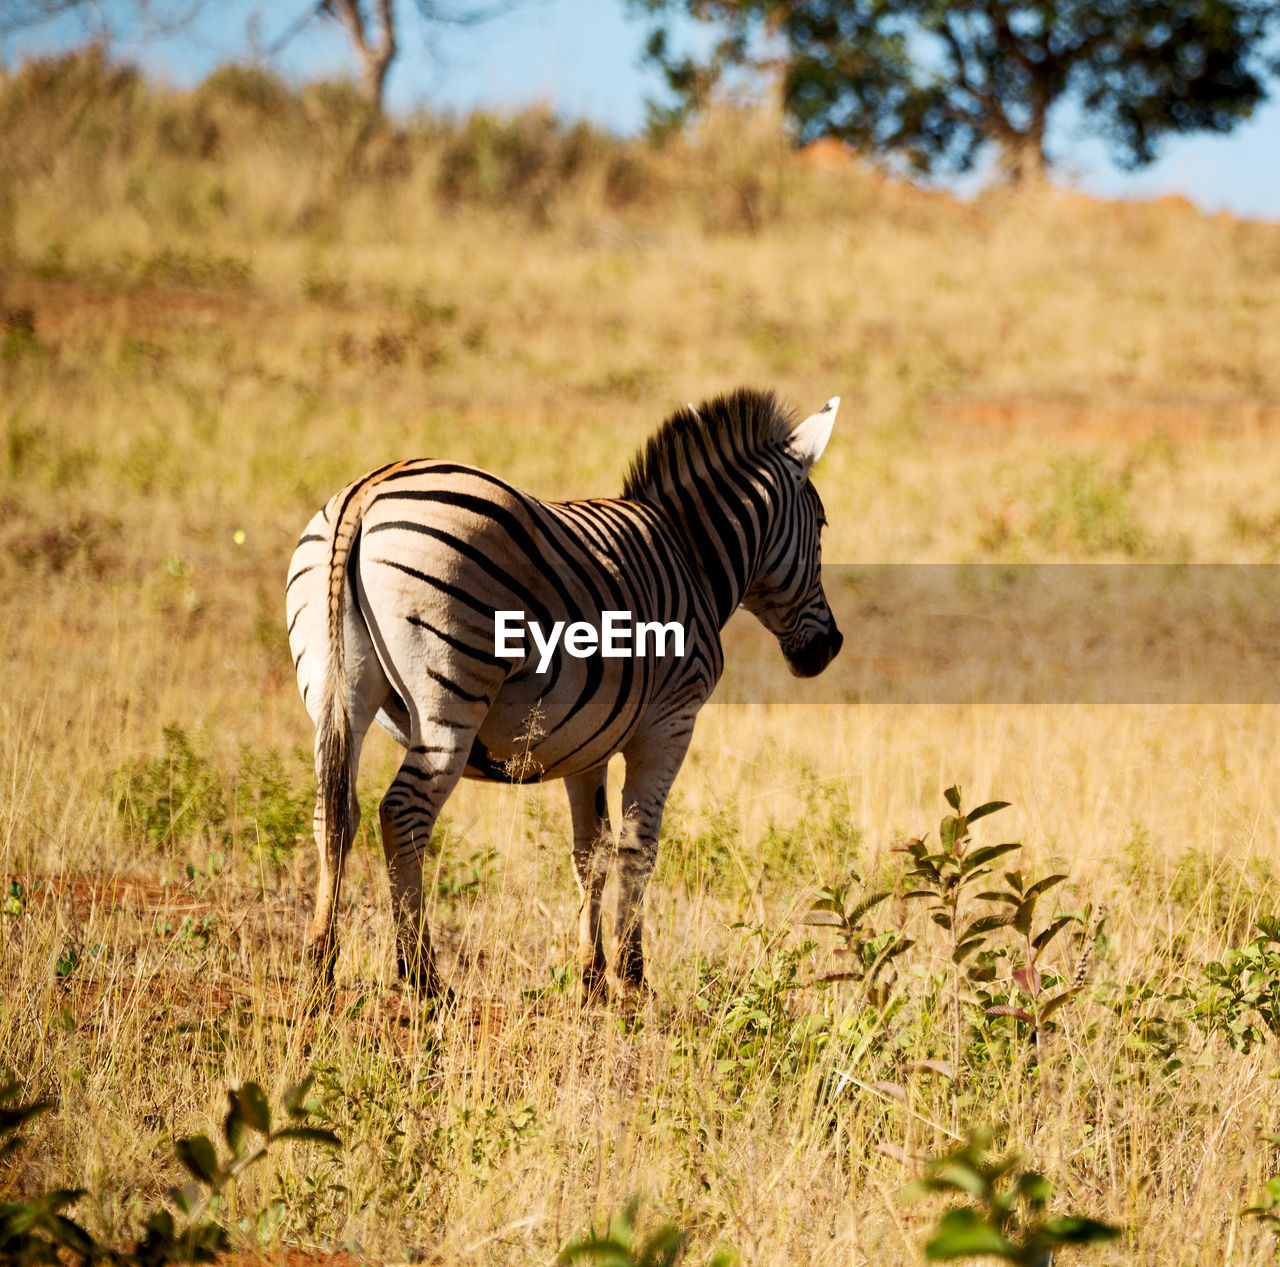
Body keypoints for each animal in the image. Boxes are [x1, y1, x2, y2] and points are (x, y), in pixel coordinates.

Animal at [286, 391, 844, 1008]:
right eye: (822, 525)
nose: (830, 648)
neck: (691, 558)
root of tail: (366, 492)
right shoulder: (670, 723)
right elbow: (638, 848)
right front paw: (632, 978)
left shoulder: (589, 743)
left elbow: (590, 854)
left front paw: (591, 978)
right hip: (451, 699)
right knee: (403, 811)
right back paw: (423, 976)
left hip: (334, 692)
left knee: (333, 811)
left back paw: (320, 965)